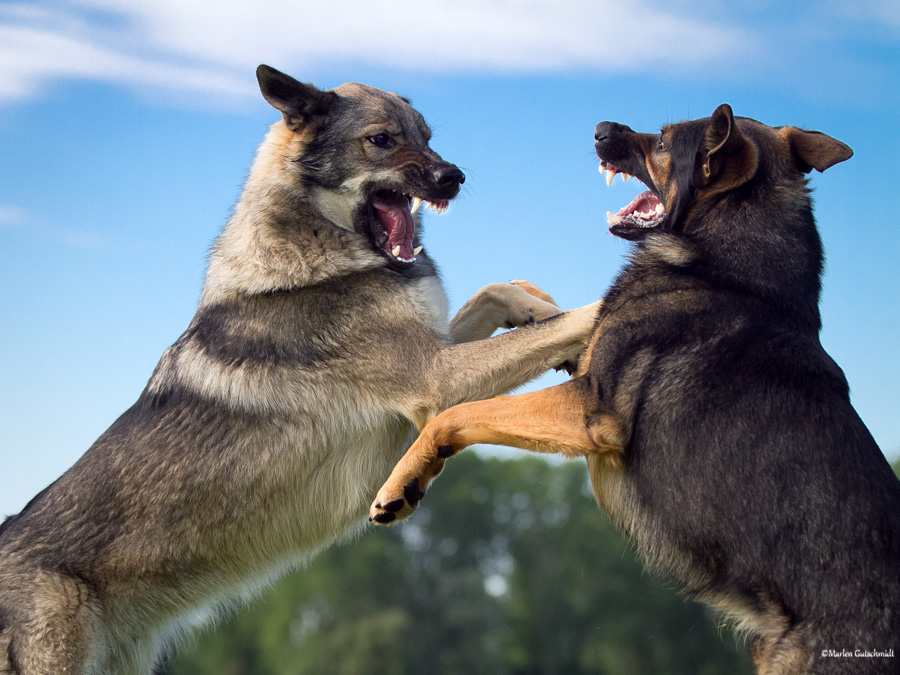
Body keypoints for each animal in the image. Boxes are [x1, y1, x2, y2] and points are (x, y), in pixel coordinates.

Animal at [1, 64, 604, 675]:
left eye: (428, 136)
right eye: (381, 139)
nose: (453, 177)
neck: (323, 251)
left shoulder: (433, 352)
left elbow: (500, 294)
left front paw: (538, 310)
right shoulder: (435, 377)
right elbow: (582, 311)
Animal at [374, 103, 900, 672]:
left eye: (665, 143)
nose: (601, 129)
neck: (729, 265)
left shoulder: (591, 410)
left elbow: (459, 413)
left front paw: (402, 481)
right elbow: (555, 322)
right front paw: (533, 303)